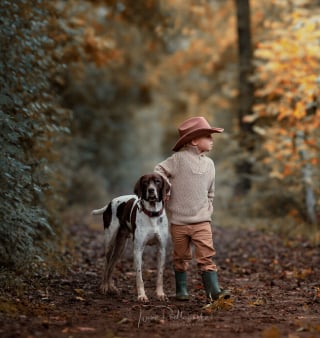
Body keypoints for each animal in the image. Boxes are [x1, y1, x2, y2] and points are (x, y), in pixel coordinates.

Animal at [92, 173, 170, 302]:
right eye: (145, 182)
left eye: (157, 181)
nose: (151, 190)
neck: (152, 214)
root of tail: (109, 203)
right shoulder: (138, 250)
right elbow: (139, 276)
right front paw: (142, 295)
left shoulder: (162, 249)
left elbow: (160, 275)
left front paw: (160, 294)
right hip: (110, 243)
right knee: (106, 264)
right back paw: (104, 286)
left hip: (120, 247)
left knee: (112, 265)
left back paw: (111, 287)